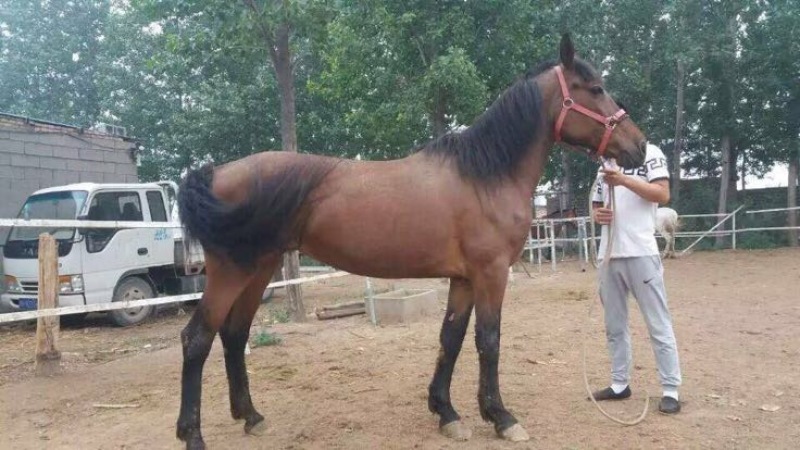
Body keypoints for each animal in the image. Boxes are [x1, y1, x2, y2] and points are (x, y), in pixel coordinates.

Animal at [174, 33, 647, 449]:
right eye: (596, 89)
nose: (638, 147)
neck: (485, 175)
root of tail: (215, 173)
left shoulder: (464, 279)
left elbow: (450, 338)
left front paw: (447, 413)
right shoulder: (491, 274)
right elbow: (488, 341)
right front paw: (501, 417)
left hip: (261, 268)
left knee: (234, 334)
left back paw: (251, 417)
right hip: (232, 272)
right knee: (197, 339)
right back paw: (192, 434)